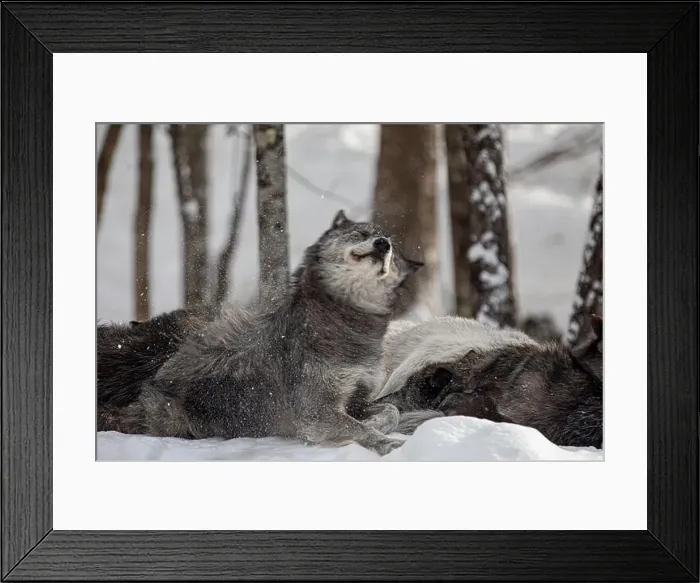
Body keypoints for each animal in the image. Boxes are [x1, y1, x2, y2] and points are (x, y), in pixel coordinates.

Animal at [97, 210, 423, 456]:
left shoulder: (356, 400)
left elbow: (390, 410)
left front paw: (381, 426)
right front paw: (387, 444)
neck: (347, 324)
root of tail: (152, 381)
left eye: (392, 251)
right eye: (360, 234)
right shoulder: (316, 412)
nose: (382, 244)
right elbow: (359, 427)